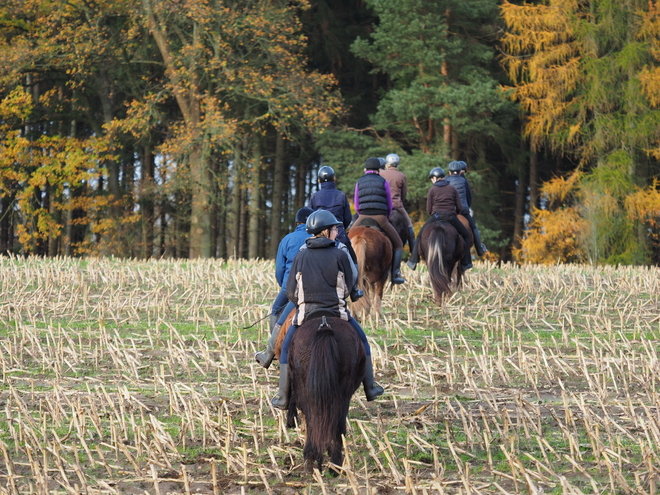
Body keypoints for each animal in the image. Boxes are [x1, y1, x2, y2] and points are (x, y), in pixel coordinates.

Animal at [284, 314, 364, 472]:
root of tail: (324, 326)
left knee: (313, 420)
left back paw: (314, 460)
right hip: (342, 394)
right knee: (335, 423)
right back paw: (334, 464)